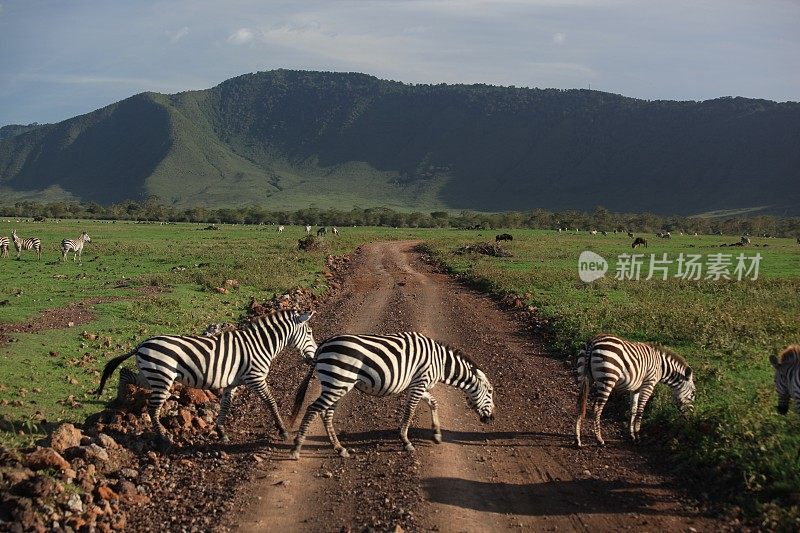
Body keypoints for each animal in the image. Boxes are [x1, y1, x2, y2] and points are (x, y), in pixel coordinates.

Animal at [95, 308, 318, 448]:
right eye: (309, 332)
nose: (315, 356)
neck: (259, 345)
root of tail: (142, 344)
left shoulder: (232, 383)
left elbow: (226, 406)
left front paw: (221, 432)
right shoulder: (255, 377)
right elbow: (271, 402)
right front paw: (283, 430)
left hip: (150, 375)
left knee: (125, 373)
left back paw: (120, 401)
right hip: (162, 377)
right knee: (152, 408)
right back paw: (163, 439)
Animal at [288, 332, 494, 458]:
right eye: (491, 392)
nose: (491, 419)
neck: (440, 362)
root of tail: (323, 345)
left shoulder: (417, 384)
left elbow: (434, 403)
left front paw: (436, 434)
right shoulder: (420, 383)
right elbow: (409, 412)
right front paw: (406, 441)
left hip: (336, 384)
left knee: (326, 413)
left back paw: (339, 448)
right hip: (338, 382)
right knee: (313, 409)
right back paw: (297, 448)